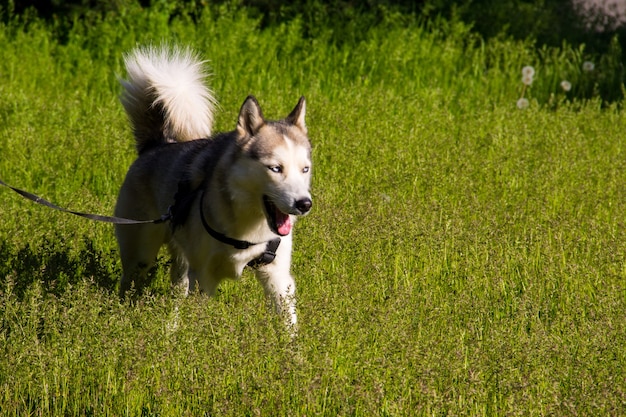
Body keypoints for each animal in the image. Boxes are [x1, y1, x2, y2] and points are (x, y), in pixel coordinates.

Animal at [113, 45, 310, 324]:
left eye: (305, 169)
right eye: (276, 168)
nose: (304, 204)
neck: (248, 230)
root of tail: (156, 145)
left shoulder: (278, 278)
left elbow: (288, 325)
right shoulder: (203, 279)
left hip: (181, 264)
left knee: (176, 294)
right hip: (140, 257)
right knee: (128, 285)